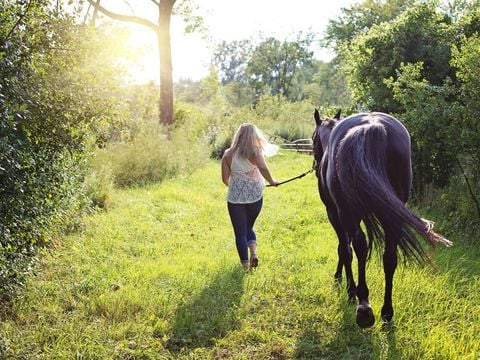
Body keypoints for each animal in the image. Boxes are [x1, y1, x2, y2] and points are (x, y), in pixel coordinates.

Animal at [314, 110, 452, 330]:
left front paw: (347, 288)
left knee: (359, 246)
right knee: (389, 257)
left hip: (348, 213)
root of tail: (372, 126)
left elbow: (344, 249)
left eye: (312, 138)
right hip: (391, 216)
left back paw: (363, 307)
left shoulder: (335, 213)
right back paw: (387, 312)